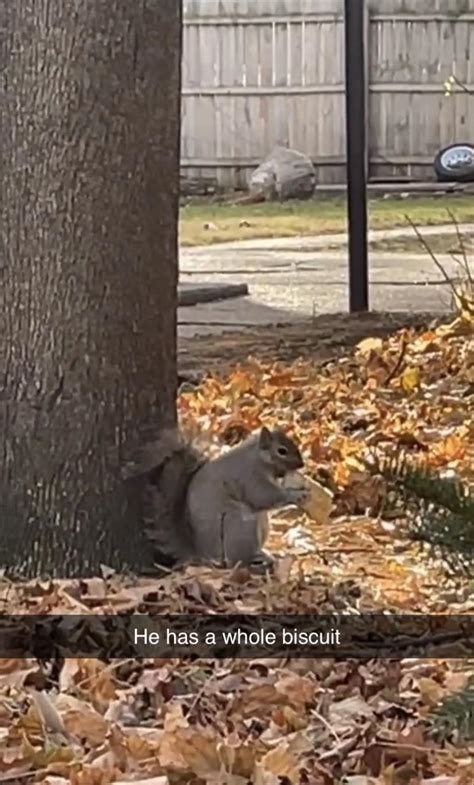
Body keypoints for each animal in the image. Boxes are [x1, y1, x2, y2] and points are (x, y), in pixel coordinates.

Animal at [128, 426, 310, 568]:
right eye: (282, 451)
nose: (301, 464)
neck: (257, 457)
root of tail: (202, 553)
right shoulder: (250, 477)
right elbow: (264, 496)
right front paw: (296, 494)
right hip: (239, 526)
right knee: (237, 561)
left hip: (260, 524)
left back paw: (266, 554)